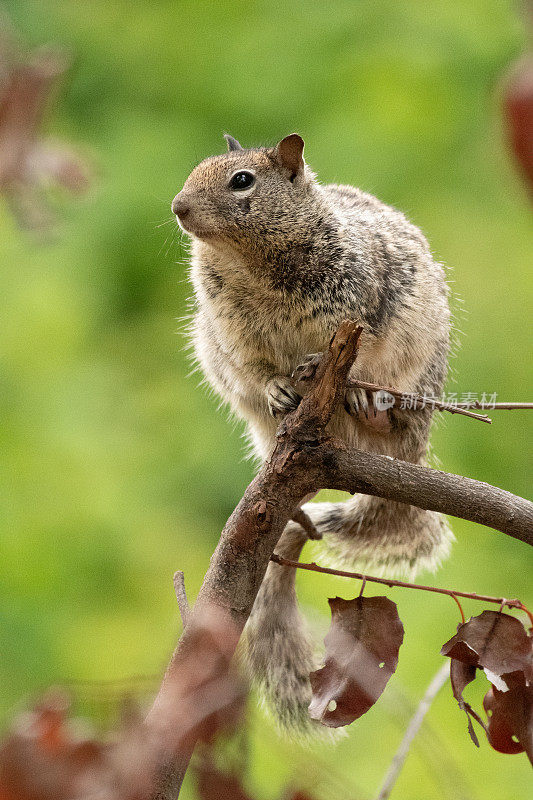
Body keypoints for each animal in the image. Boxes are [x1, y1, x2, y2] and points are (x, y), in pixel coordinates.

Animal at [171, 133, 454, 732]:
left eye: (243, 181)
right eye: (197, 168)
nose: (178, 208)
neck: (249, 261)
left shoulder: (360, 302)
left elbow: (356, 344)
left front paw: (339, 377)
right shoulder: (234, 337)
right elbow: (257, 368)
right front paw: (279, 388)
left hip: (416, 386)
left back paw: (370, 404)